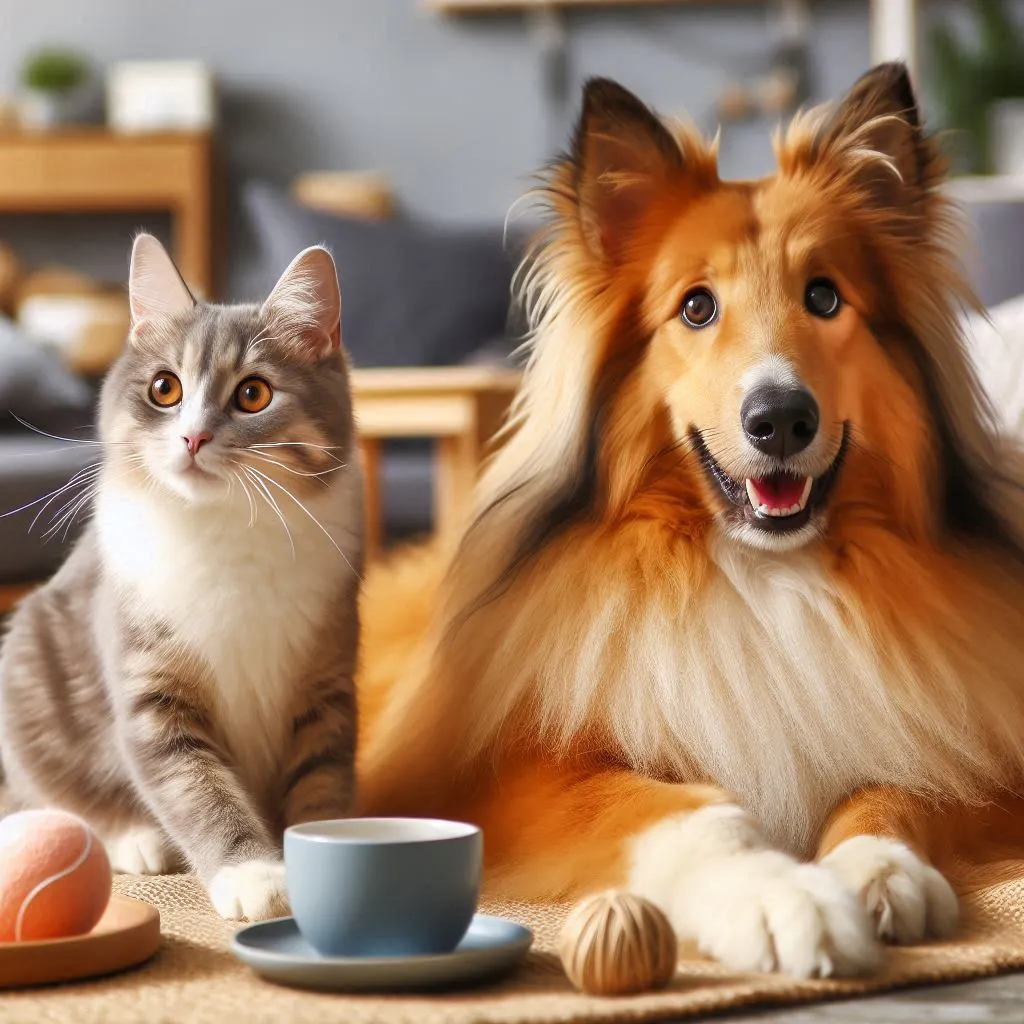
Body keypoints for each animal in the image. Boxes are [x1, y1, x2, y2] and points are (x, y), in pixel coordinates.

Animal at [0, 235, 364, 925]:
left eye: (253, 394)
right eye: (164, 389)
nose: (193, 436)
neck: (226, 530)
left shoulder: (326, 681)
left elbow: (322, 778)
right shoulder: (149, 685)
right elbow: (197, 789)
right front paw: (255, 875)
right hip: (29, 670)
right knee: (47, 794)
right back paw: (133, 839)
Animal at [354, 64, 1024, 974]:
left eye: (825, 296)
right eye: (696, 308)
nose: (781, 419)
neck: (762, 574)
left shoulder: (969, 738)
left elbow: (900, 783)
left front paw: (879, 867)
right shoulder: (506, 774)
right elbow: (670, 805)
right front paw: (780, 897)